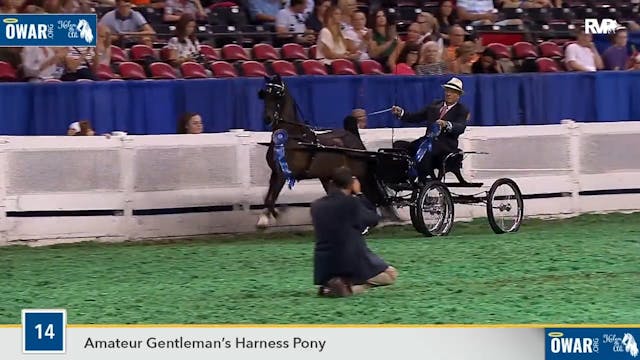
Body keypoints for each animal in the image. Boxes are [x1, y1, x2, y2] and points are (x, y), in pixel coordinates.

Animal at [256, 75, 390, 228]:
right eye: (264, 95)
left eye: (277, 95)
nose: (267, 118)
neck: (292, 136)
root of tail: (352, 136)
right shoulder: (275, 173)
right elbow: (268, 198)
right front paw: (265, 218)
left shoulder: (283, 174)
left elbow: (272, 198)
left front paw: (275, 216)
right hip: (327, 176)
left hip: (359, 174)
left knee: (367, 195)